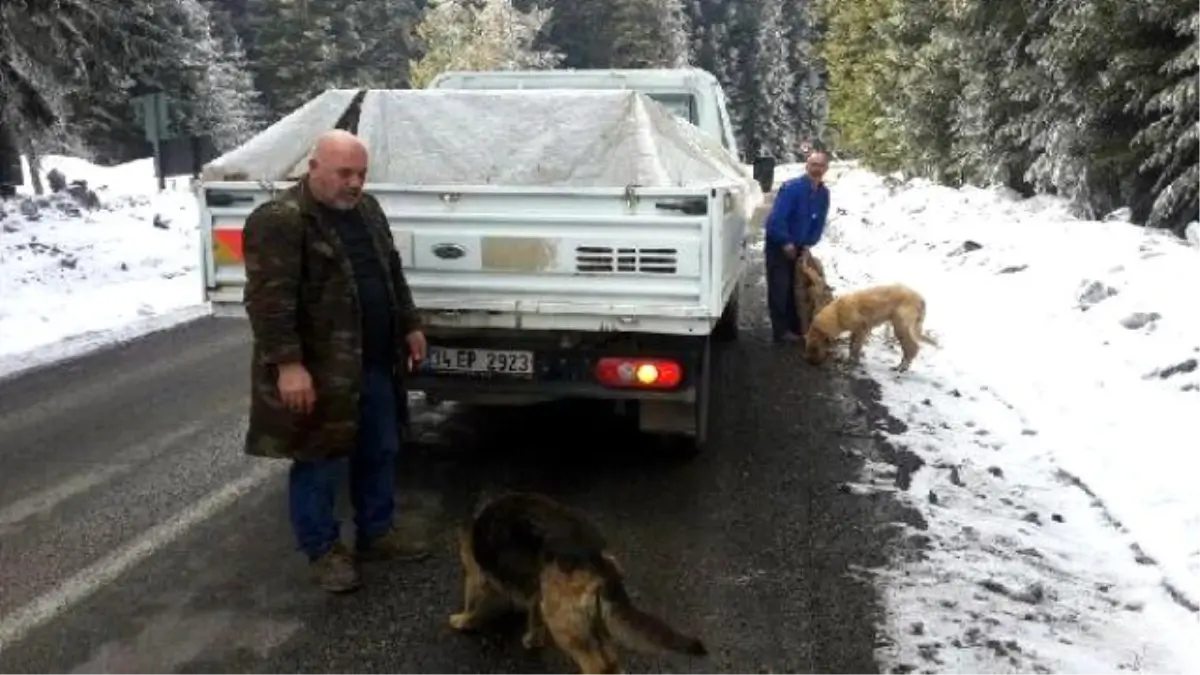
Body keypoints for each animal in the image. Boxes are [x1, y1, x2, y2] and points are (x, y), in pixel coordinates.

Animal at [451, 487, 710, 672]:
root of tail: (596, 555)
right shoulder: (538, 590)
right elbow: (534, 615)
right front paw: (534, 639)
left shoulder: (475, 575)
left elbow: (472, 601)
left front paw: (464, 620)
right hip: (588, 616)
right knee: (611, 661)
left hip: (564, 620)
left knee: (597, 665)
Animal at [806, 281, 936, 369]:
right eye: (809, 347)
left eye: (815, 347)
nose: (811, 362)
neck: (837, 313)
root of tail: (921, 299)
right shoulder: (856, 331)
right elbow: (852, 345)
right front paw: (852, 359)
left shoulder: (861, 328)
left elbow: (855, 347)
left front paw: (852, 361)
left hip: (901, 326)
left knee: (913, 347)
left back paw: (901, 367)